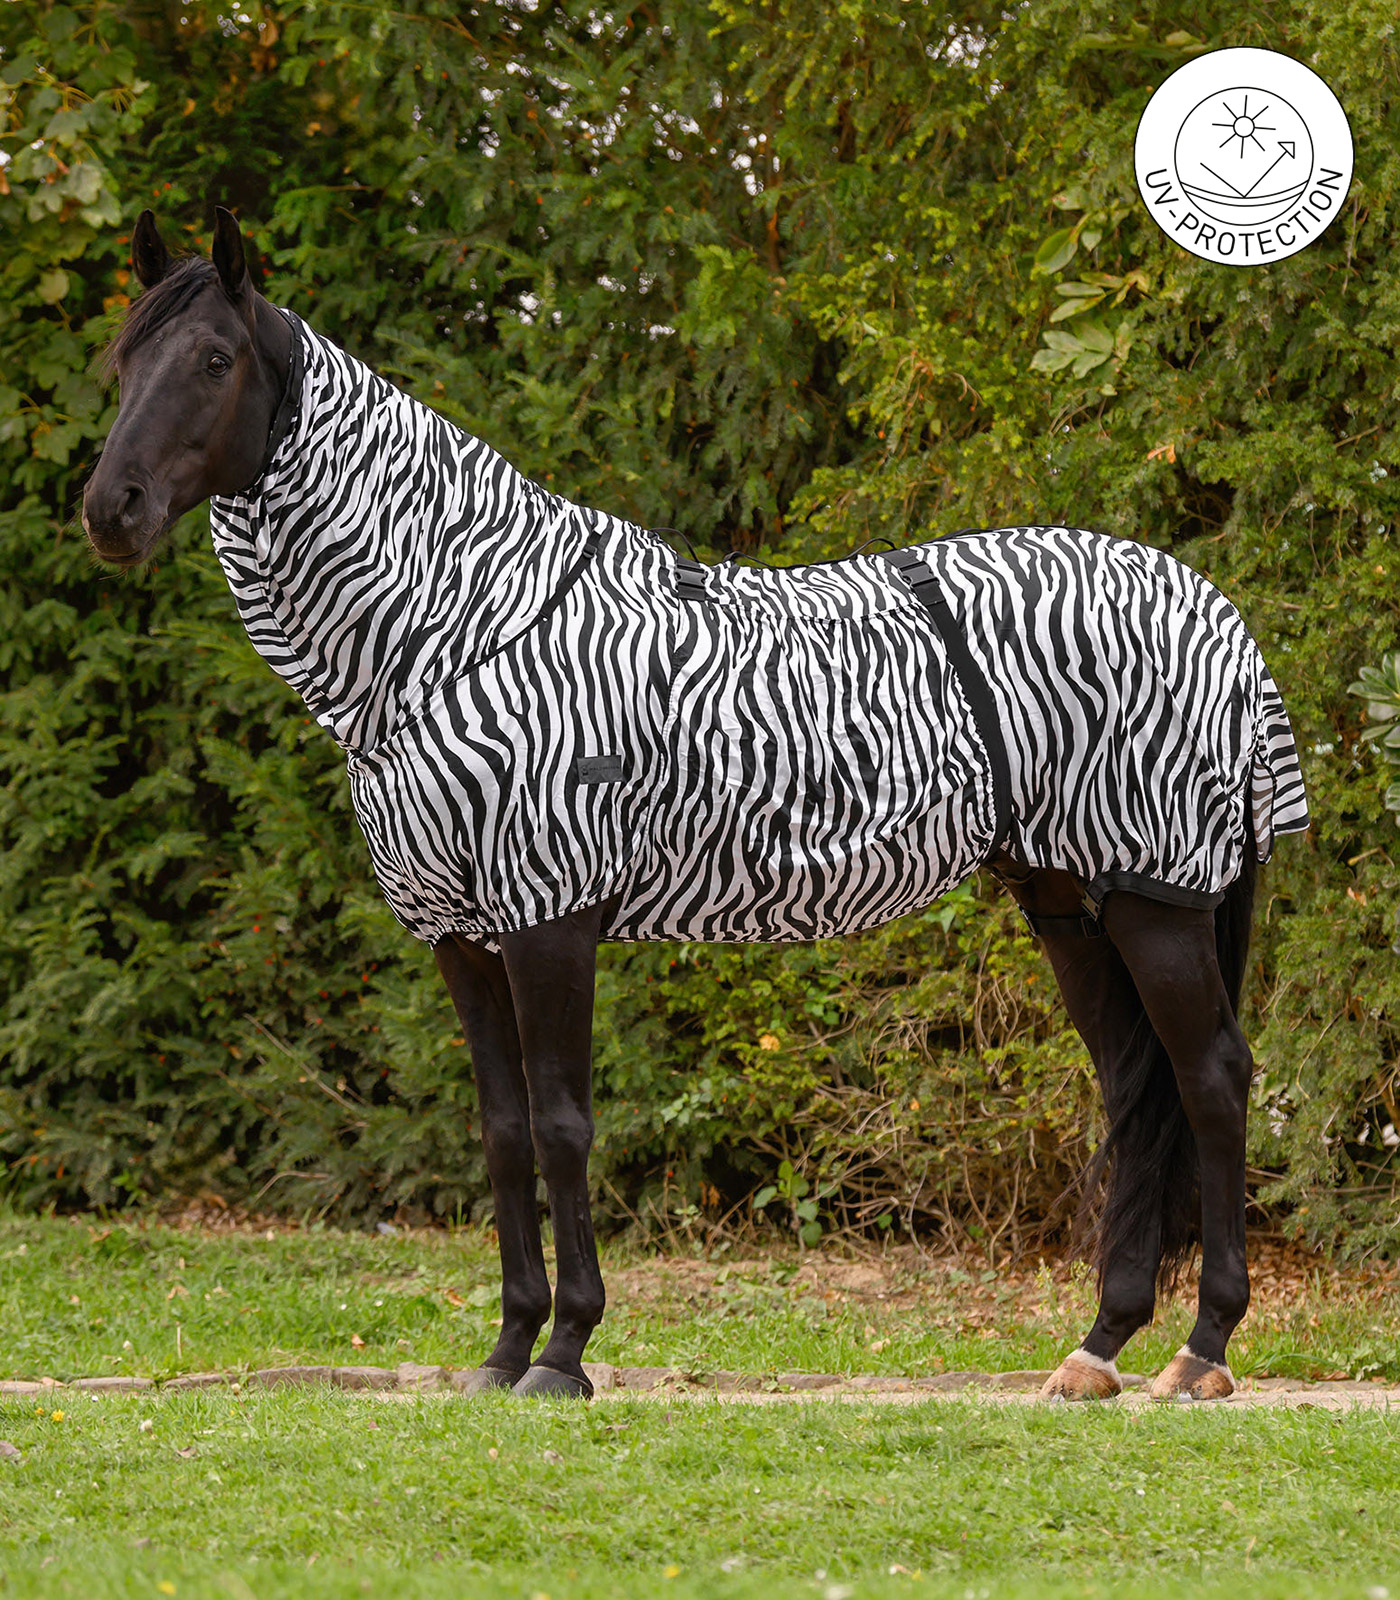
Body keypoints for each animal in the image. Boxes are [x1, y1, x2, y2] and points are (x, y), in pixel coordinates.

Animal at [83, 207, 1308, 1404]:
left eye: (213, 360)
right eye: (123, 361)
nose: (110, 512)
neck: (459, 626)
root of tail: (1215, 612)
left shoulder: (550, 915)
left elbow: (564, 1126)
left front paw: (564, 1353)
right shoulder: (458, 936)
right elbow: (501, 1133)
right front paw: (504, 1349)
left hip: (1154, 897)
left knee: (1209, 1079)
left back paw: (1201, 1351)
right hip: (1067, 900)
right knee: (1134, 1089)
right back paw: (1098, 1348)